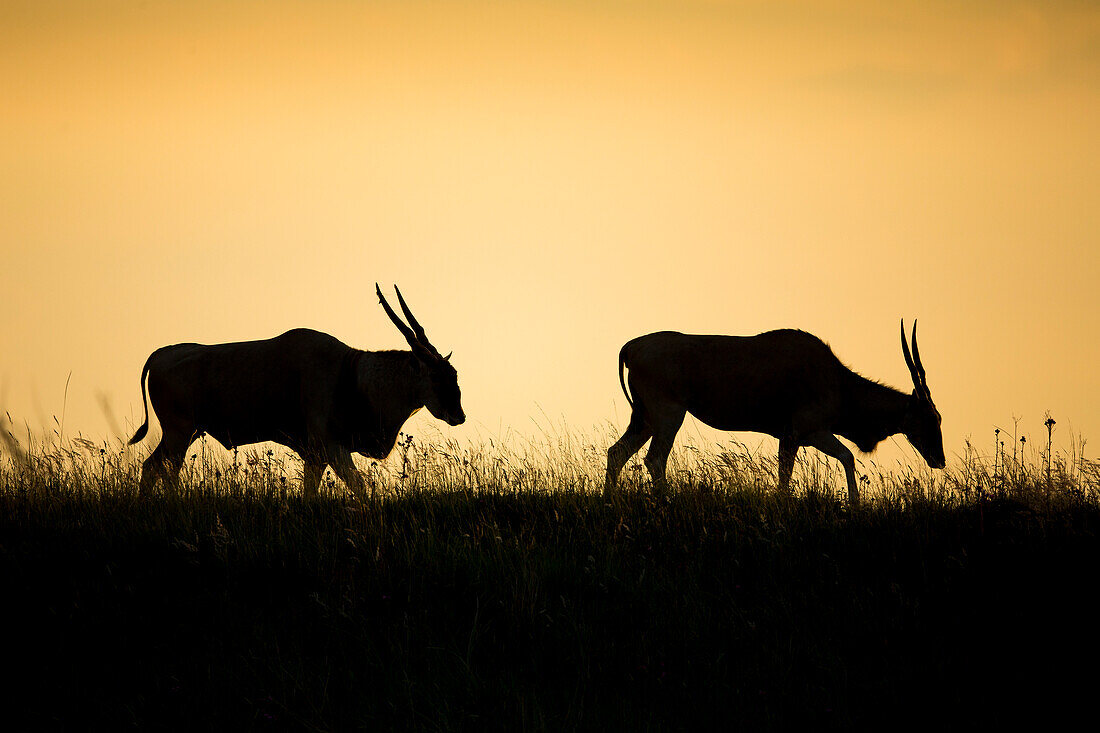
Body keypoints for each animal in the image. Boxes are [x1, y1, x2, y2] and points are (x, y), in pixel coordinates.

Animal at [128, 281, 464, 493]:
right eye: (436, 376)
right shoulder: (330, 449)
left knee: (150, 468)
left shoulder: (315, 457)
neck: (351, 373)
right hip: (180, 433)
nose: (458, 415)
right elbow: (361, 490)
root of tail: (160, 355)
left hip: (184, 434)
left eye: (454, 375)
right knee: (164, 472)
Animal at [607, 321, 941, 501]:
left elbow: (787, 475)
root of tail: (631, 348)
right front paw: (854, 504)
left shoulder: (790, 438)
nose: (939, 459)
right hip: (668, 416)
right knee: (654, 459)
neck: (837, 380)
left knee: (617, 452)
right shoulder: (805, 432)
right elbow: (844, 458)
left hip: (644, 419)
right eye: (931, 418)